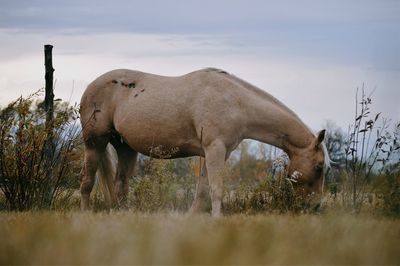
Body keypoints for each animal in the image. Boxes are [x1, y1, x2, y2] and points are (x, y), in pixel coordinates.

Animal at [79, 67, 330, 215]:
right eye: (319, 167)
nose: (316, 205)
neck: (235, 102)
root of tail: (91, 86)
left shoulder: (218, 153)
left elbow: (202, 190)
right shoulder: (214, 149)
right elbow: (216, 189)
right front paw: (217, 220)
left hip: (125, 147)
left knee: (120, 185)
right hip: (94, 144)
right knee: (87, 182)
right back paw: (85, 214)